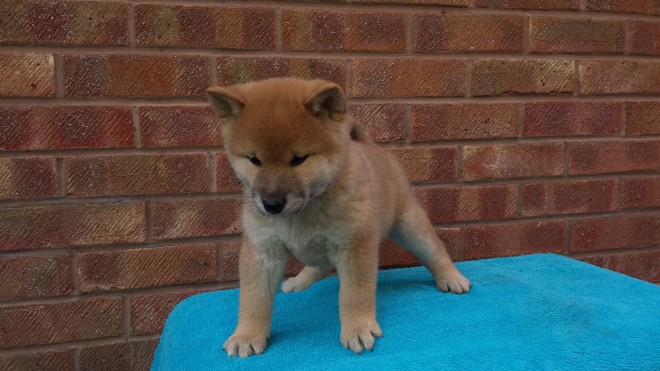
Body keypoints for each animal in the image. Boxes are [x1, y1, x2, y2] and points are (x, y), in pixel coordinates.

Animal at [206, 78, 470, 360]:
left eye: (299, 159)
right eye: (254, 160)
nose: (272, 205)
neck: (304, 212)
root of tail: (371, 147)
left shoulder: (354, 246)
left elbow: (354, 294)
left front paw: (358, 329)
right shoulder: (263, 249)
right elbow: (254, 298)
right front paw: (246, 335)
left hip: (410, 226)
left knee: (435, 251)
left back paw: (451, 277)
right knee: (319, 266)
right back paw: (299, 281)